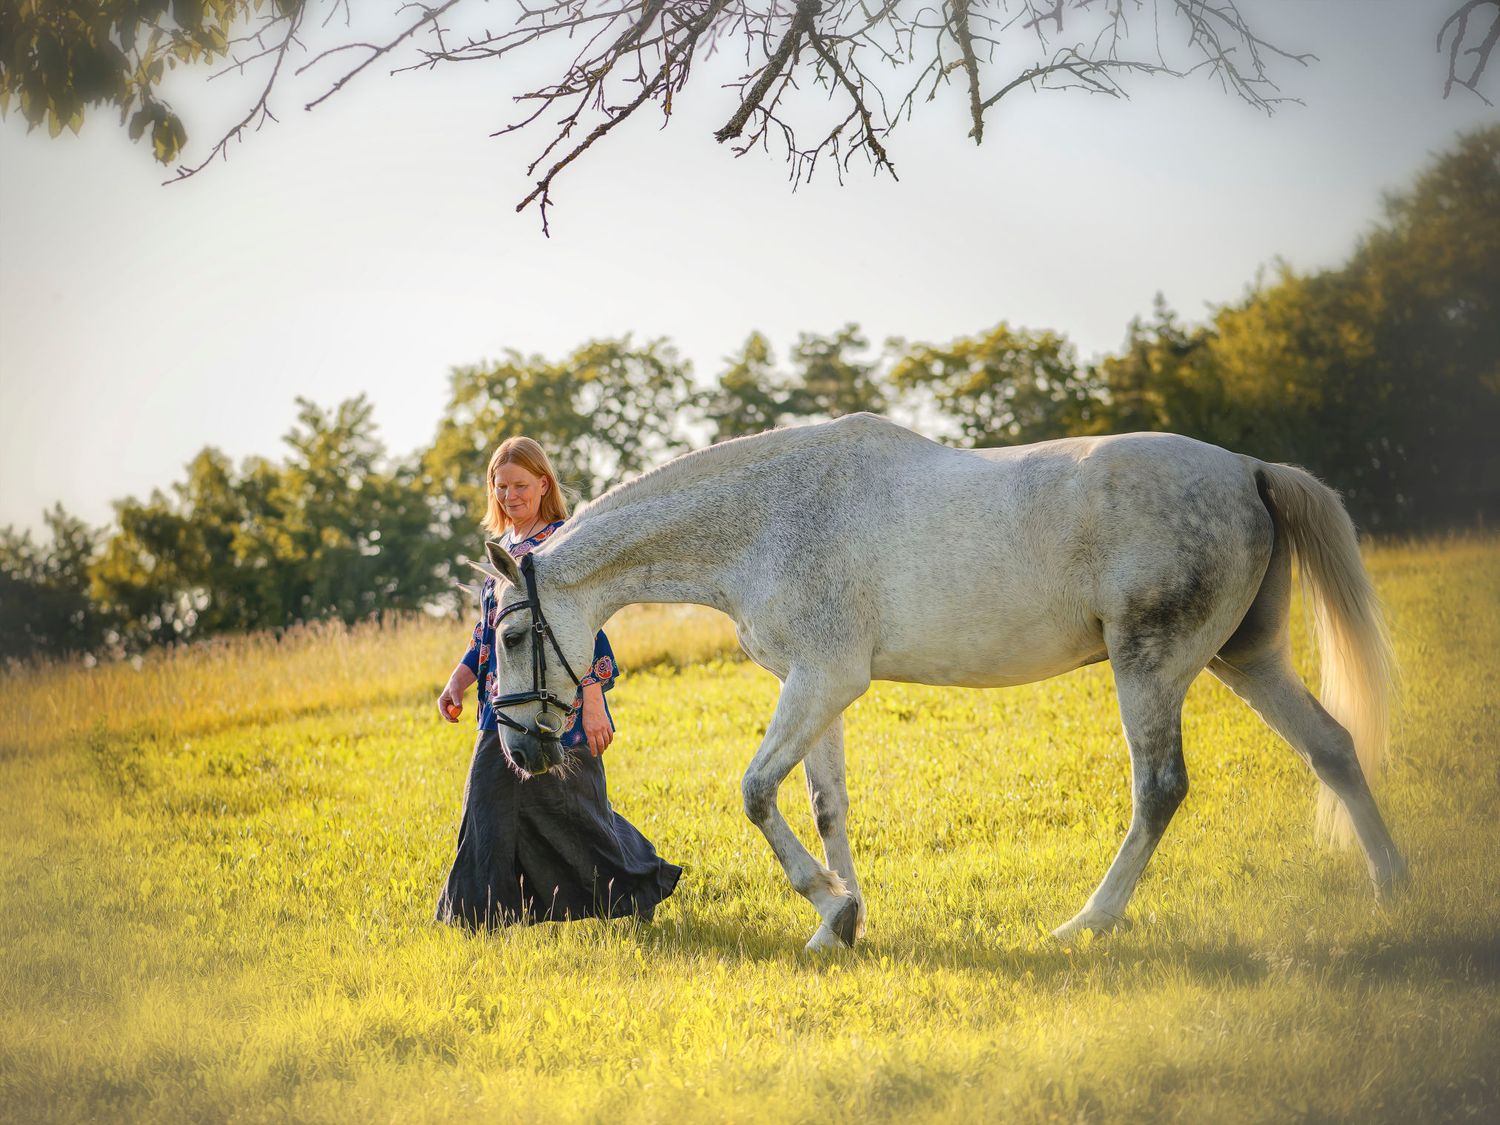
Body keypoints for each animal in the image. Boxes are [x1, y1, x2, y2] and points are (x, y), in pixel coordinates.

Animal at [471, 413, 1405, 953]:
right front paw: (840, 923)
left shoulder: (824, 677)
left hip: (1152, 665)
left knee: (1160, 789)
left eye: (511, 634)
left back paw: (1087, 923)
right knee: (1332, 747)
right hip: (1246, 658)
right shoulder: (818, 686)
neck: (768, 516)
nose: (522, 749)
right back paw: (1393, 888)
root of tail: (1249, 469)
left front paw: (831, 906)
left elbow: (756, 791)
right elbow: (824, 804)